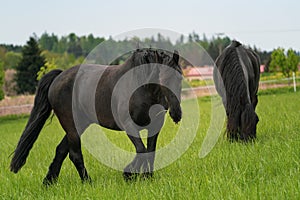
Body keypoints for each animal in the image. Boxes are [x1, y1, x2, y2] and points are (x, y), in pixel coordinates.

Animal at [9, 48, 183, 184]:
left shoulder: (155, 125)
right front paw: (128, 174)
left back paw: (49, 182)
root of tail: (58, 77)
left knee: (61, 150)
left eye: (180, 77)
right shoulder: (129, 125)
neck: (141, 88)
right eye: (162, 78)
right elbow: (141, 150)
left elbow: (150, 151)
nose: (176, 113)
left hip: (79, 125)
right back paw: (87, 182)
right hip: (71, 126)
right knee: (74, 154)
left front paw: (148, 178)